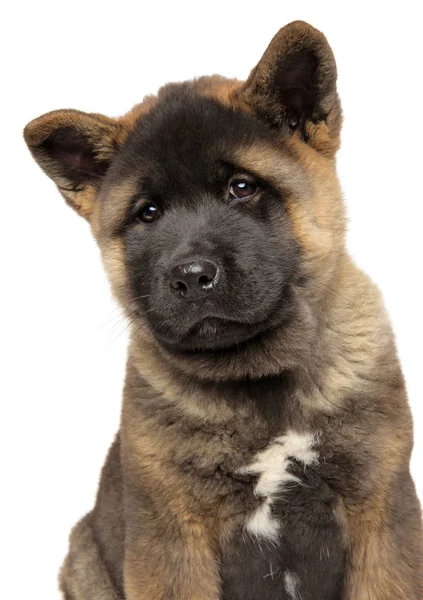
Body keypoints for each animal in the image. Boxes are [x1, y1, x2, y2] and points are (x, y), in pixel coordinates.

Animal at [24, 19, 423, 600]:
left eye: (241, 187)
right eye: (148, 212)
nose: (192, 277)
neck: (261, 380)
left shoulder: (380, 514)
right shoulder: (172, 539)